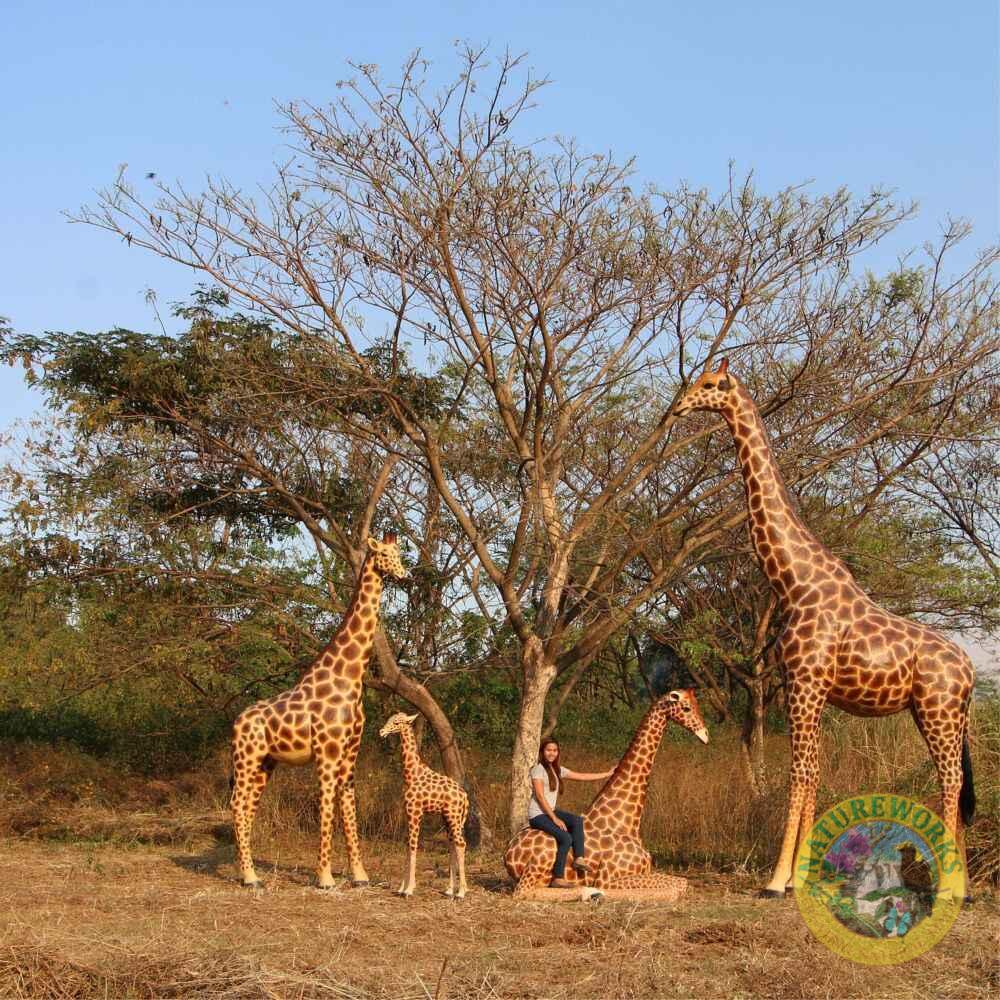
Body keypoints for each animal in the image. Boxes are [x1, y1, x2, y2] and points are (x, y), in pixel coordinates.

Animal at [230, 533, 409, 890]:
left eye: (399, 554)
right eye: (385, 555)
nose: (405, 575)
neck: (349, 677)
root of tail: (236, 722)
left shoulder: (350, 752)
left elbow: (348, 806)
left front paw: (360, 875)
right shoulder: (327, 752)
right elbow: (326, 807)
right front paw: (325, 877)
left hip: (264, 763)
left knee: (247, 807)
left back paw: (250, 874)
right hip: (246, 759)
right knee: (236, 805)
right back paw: (250, 877)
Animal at [379, 712, 470, 899]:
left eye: (397, 722)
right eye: (390, 719)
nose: (382, 732)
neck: (411, 774)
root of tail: (465, 797)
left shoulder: (415, 812)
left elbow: (413, 847)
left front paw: (409, 889)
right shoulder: (408, 813)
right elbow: (407, 846)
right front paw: (401, 888)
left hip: (453, 817)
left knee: (461, 844)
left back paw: (461, 892)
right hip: (447, 818)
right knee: (452, 844)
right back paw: (450, 890)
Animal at [503, 689, 709, 899]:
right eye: (686, 708)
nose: (705, 735)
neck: (627, 824)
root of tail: (508, 853)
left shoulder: (645, 870)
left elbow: (683, 882)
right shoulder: (609, 877)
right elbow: (675, 888)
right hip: (536, 868)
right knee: (525, 892)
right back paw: (589, 892)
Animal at [673, 359, 976, 897]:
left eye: (710, 384)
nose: (678, 406)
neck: (793, 582)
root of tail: (970, 672)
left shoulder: (805, 683)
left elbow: (802, 772)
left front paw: (777, 881)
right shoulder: (805, 687)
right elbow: (812, 773)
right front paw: (799, 878)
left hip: (939, 711)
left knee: (950, 781)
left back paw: (948, 886)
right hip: (937, 714)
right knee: (955, 783)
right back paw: (961, 887)